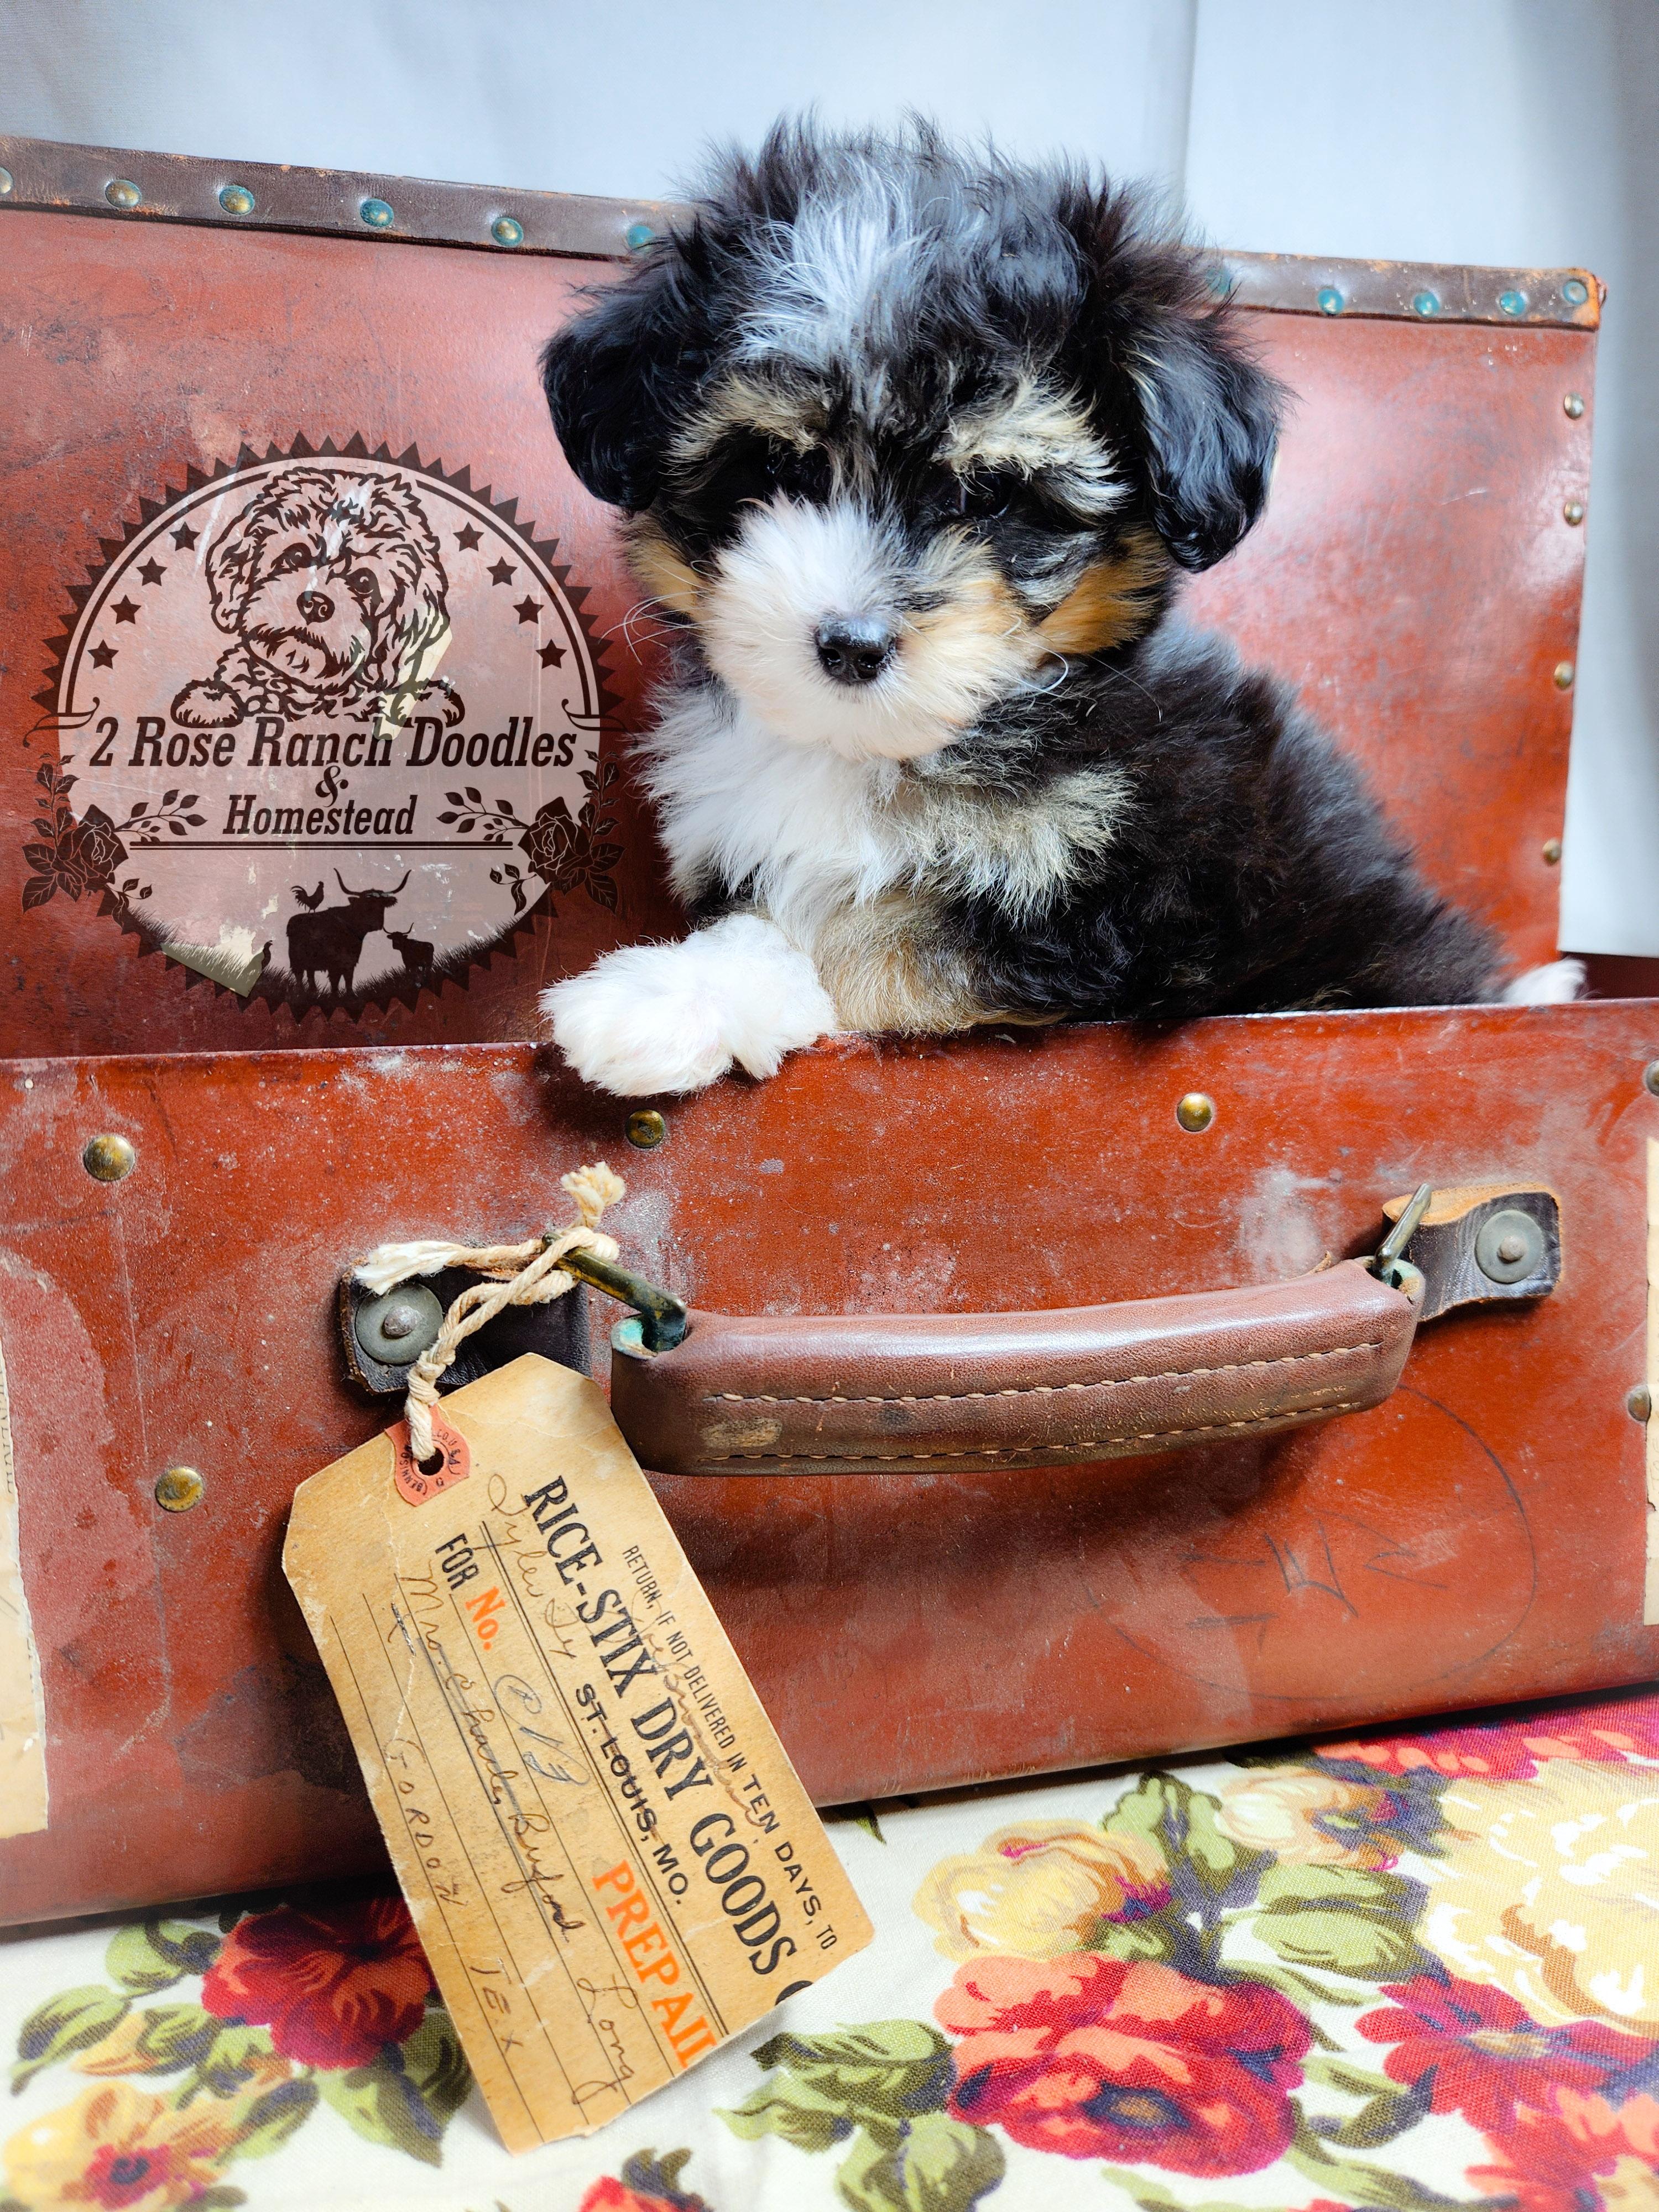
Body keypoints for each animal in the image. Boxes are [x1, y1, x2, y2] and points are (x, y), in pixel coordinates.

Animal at [540, 120, 1580, 1096]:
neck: (883, 752)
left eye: (996, 494)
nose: (852, 644)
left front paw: (665, 999)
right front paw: (689, 985)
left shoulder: (1142, 918)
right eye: (775, 468)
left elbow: (883, 938)